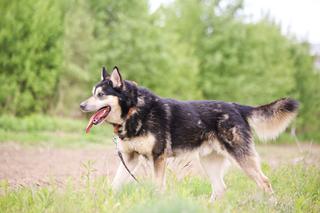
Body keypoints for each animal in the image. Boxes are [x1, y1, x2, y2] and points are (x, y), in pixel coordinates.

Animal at [79, 66, 298, 201]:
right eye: (92, 93)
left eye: (100, 95)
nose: (81, 105)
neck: (134, 110)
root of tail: (236, 106)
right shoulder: (129, 158)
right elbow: (115, 185)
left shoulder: (158, 158)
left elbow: (157, 187)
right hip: (208, 161)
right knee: (220, 189)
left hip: (242, 158)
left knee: (265, 182)